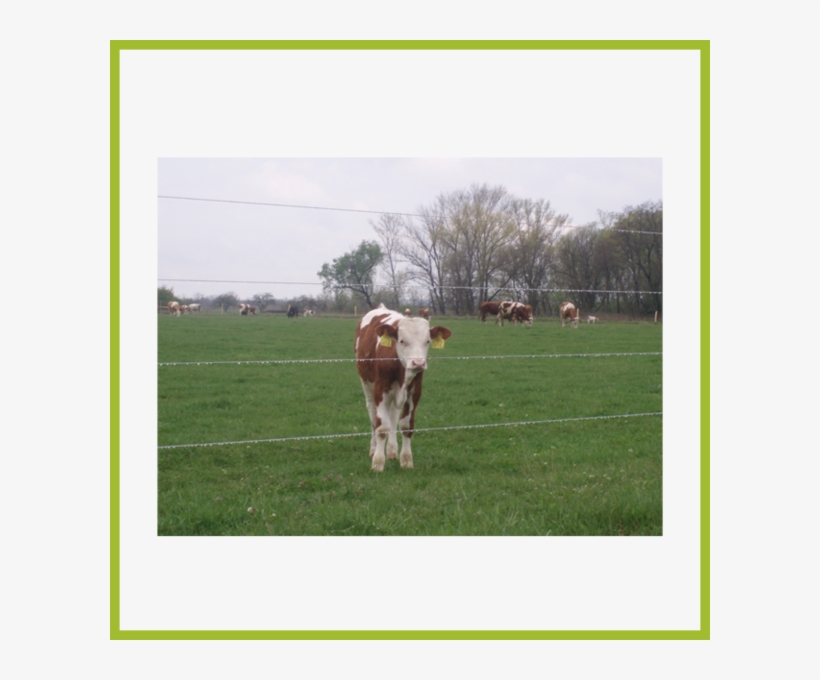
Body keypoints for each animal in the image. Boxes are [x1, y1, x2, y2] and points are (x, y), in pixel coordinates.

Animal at [354, 304, 452, 472]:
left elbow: (406, 426)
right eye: (401, 341)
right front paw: (378, 462)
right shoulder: (380, 389)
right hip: (367, 384)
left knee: (393, 416)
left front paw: (406, 460)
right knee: (373, 416)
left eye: (427, 341)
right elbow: (382, 427)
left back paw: (392, 451)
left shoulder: (415, 391)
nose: (418, 363)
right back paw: (373, 449)